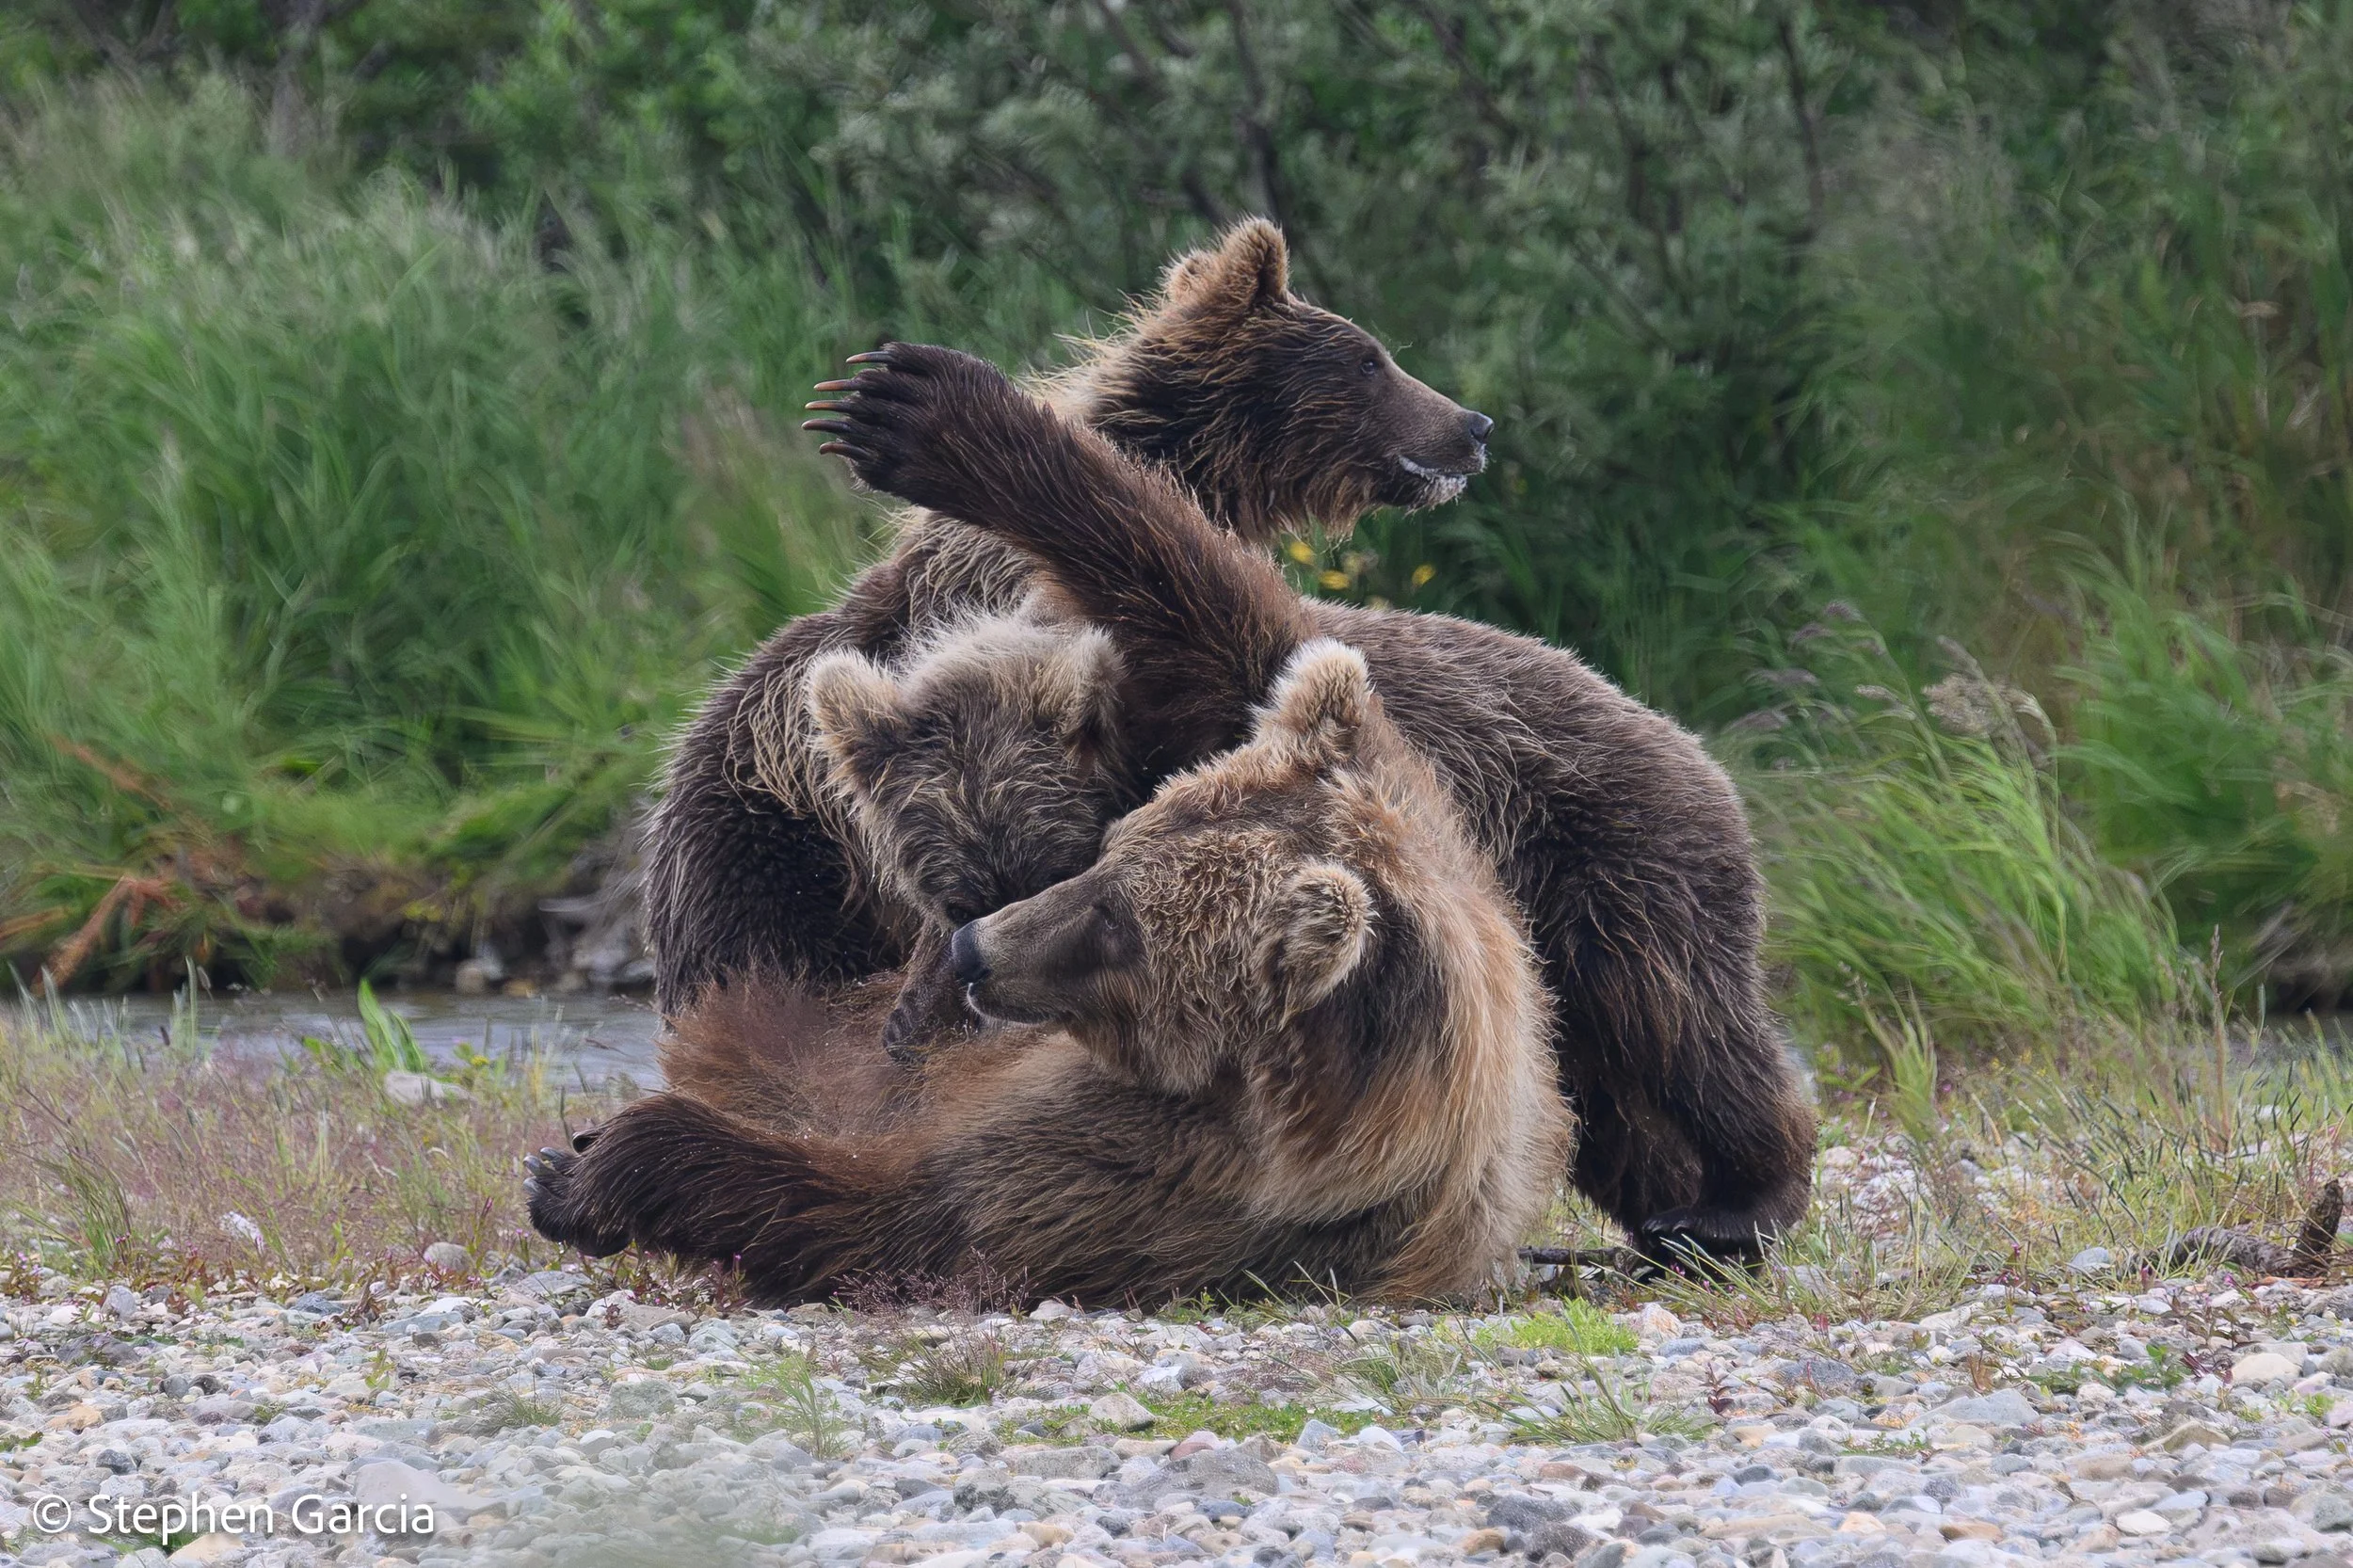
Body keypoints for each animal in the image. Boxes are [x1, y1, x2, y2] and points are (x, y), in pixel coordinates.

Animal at [526, 642, 1571, 1305]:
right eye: (1111, 849)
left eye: (1118, 925)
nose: (972, 949)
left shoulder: (1134, 1182)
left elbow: (880, 1211)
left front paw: (584, 1169)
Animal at [802, 338, 1819, 1264]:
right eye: (954, 896)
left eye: (1066, 866)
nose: (979, 961)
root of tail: (1678, 734)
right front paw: (901, 1042)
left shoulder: (1228, 685)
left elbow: (1172, 567)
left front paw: (917, 413)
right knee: (1603, 1082)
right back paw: (1658, 1203)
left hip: (1616, 855)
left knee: (1681, 1021)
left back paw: (1738, 1197)